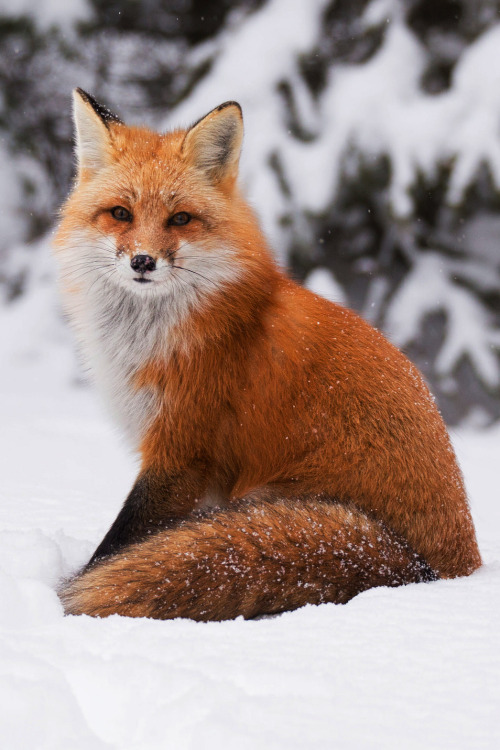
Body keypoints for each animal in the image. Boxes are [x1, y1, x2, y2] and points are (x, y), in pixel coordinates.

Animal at [54, 88, 480, 620]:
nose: (143, 262)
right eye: (120, 214)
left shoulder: (182, 450)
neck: (152, 337)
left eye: (180, 219)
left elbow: (119, 543)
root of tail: (435, 570)